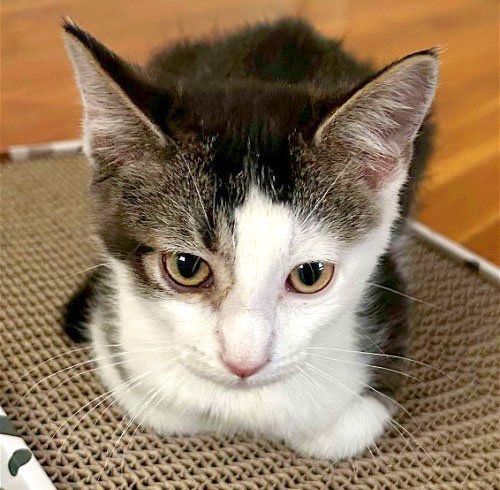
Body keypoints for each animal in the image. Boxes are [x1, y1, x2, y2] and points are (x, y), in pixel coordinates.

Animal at [62, 16, 438, 460]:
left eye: (310, 275)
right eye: (186, 267)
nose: (244, 364)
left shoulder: (388, 296)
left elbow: (339, 434)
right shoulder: (118, 339)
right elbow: (165, 408)